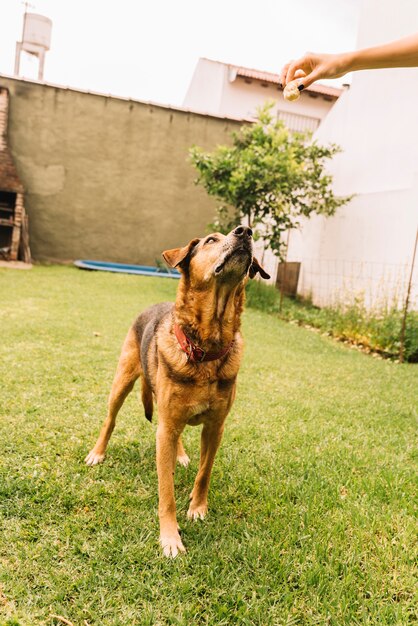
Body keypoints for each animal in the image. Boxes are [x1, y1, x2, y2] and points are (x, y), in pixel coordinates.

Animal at [85, 225, 270, 556]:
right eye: (211, 240)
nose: (245, 231)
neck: (206, 351)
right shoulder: (166, 428)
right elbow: (166, 491)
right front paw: (170, 538)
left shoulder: (215, 427)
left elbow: (204, 472)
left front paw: (198, 508)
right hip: (122, 381)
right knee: (110, 420)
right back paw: (98, 452)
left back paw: (181, 455)